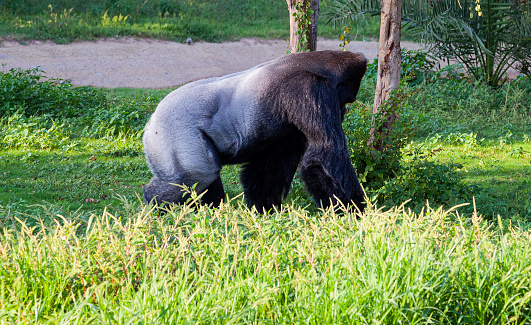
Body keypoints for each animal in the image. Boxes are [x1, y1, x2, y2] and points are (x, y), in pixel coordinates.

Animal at [143, 49, 368, 211]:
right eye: (346, 100)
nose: (342, 112)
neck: (320, 63)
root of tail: (150, 123)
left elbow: (272, 166)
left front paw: (265, 207)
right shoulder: (308, 88)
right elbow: (323, 155)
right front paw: (354, 209)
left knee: (203, 178)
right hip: (171, 129)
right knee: (194, 177)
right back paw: (155, 207)